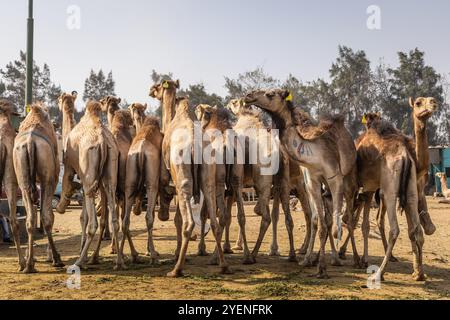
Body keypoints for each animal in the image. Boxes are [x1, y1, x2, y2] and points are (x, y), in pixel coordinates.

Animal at [12, 104, 63, 274]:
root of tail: (29, 142)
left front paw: (32, 257)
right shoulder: (52, 179)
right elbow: (49, 215)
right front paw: (48, 256)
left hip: (23, 179)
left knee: (30, 219)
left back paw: (28, 265)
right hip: (48, 179)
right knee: (47, 217)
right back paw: (57, 259)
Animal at [56, 100, 124, 270]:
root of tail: (103, 142)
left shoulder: (70, 167)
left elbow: (83, 216)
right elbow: (85, 215)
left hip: (88, 175)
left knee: (93, 224)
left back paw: (79, 262)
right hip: (110, 173)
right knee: (114, 219)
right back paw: (119, 261)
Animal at [244, 89, 360, 278]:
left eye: (270, 94)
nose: (249, 96)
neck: (316, 154)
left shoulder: (334, 180)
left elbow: (336, 224)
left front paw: (326, 263)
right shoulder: (312, 181)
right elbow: (320, 223)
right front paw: (319, 266)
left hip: (348, 181)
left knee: (348, 218)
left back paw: (355, 259)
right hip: (319, 190)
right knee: (321, 219)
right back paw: (311, 259)